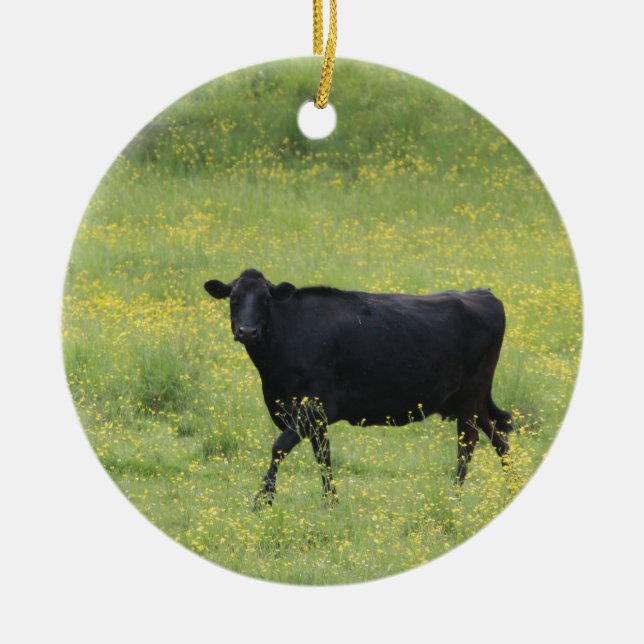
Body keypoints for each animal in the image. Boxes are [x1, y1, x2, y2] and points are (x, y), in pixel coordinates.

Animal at [204, 268, 513, 508]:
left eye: (266, 299)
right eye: (234, 298)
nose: (247, 331)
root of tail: (482, 293)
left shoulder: (316, 403)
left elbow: (279, 447)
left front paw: (262, 500)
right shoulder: (313, 415)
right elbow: (323, 456)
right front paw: (331, 502)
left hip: (471, 394)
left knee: (468, 442)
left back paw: (455, 496)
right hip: (468, 400)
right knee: (499, 438)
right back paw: (511, 485)